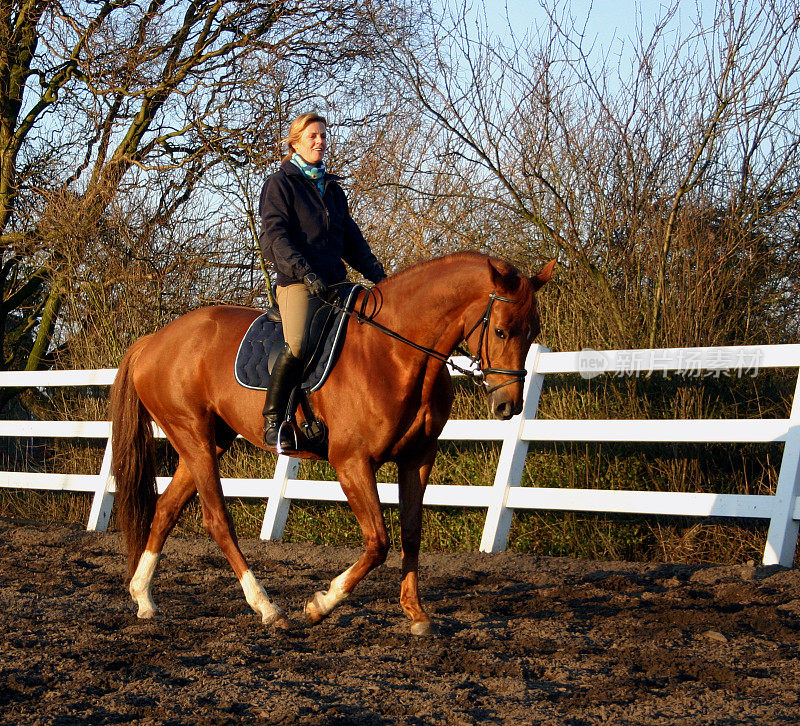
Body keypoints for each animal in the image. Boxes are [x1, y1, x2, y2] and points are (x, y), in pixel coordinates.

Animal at [108, 253, 556, 636]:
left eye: (532, 331)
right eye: (500, 330)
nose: (508, 405)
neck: (394, 353)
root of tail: (153, 341)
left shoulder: (417, 459)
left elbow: (410, 533)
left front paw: (416, 614)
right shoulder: (351, 462)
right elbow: (378, 541)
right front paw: (321, 604)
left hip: (208, 442)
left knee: (165, 510)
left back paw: (143, 598)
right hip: (194, 438)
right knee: (217, 520)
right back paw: (267, 608)